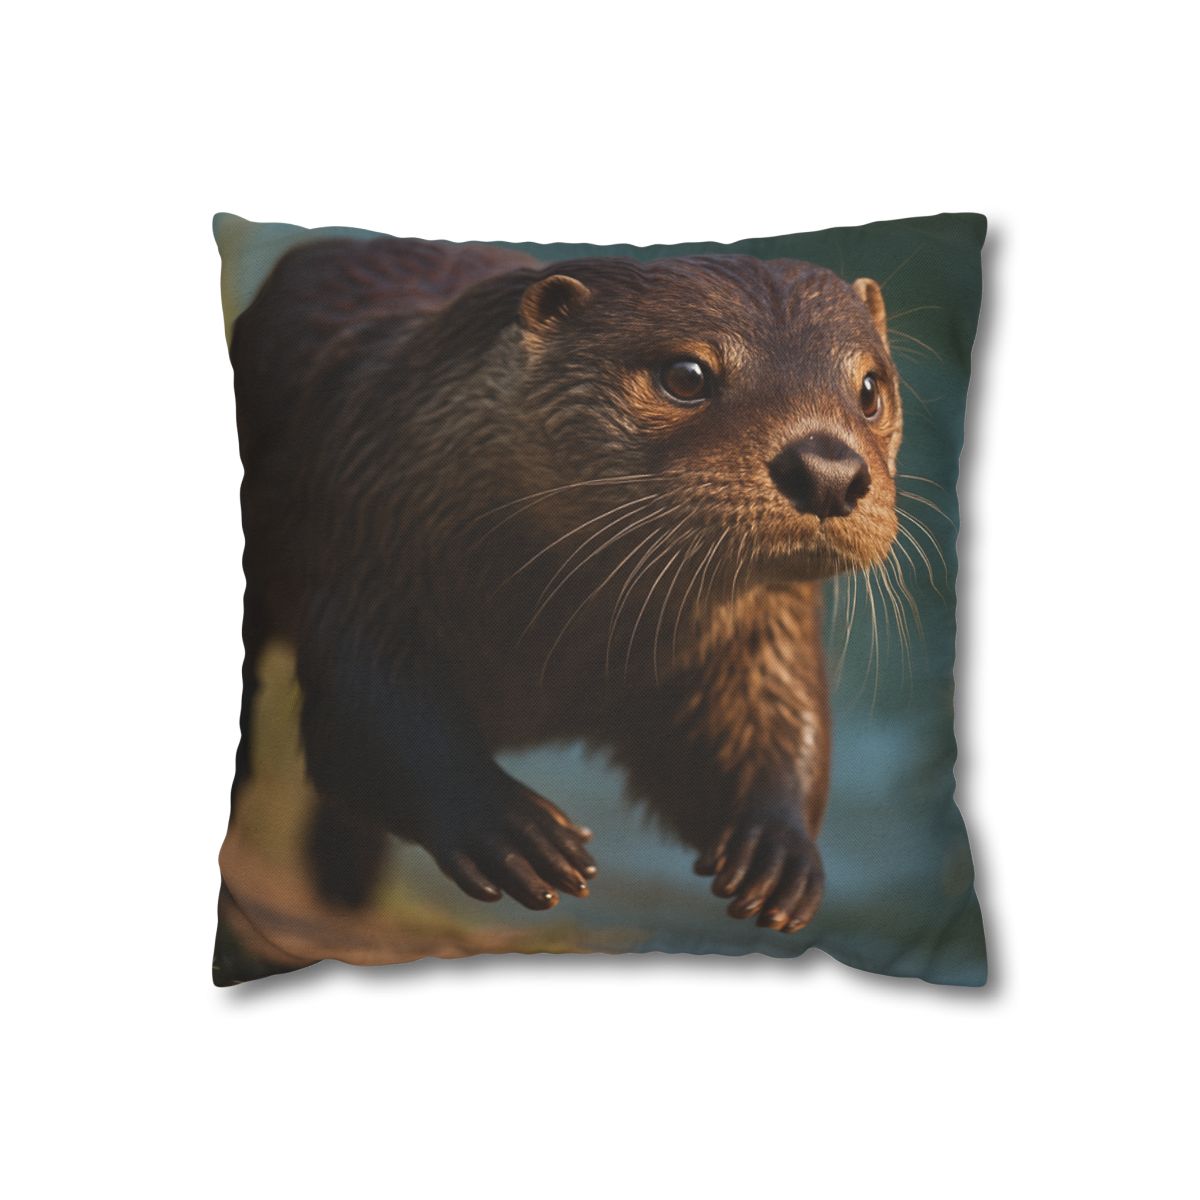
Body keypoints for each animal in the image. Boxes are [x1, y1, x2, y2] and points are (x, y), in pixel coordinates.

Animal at [231, 237, 901, 934]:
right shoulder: (370, 540)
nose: (828, 470)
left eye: (870, 389)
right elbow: (370, 717)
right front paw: (511, 829)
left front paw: (778, 853)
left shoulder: (763, 630)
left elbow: (768, 722)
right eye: (687, 376)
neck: (554, 639)